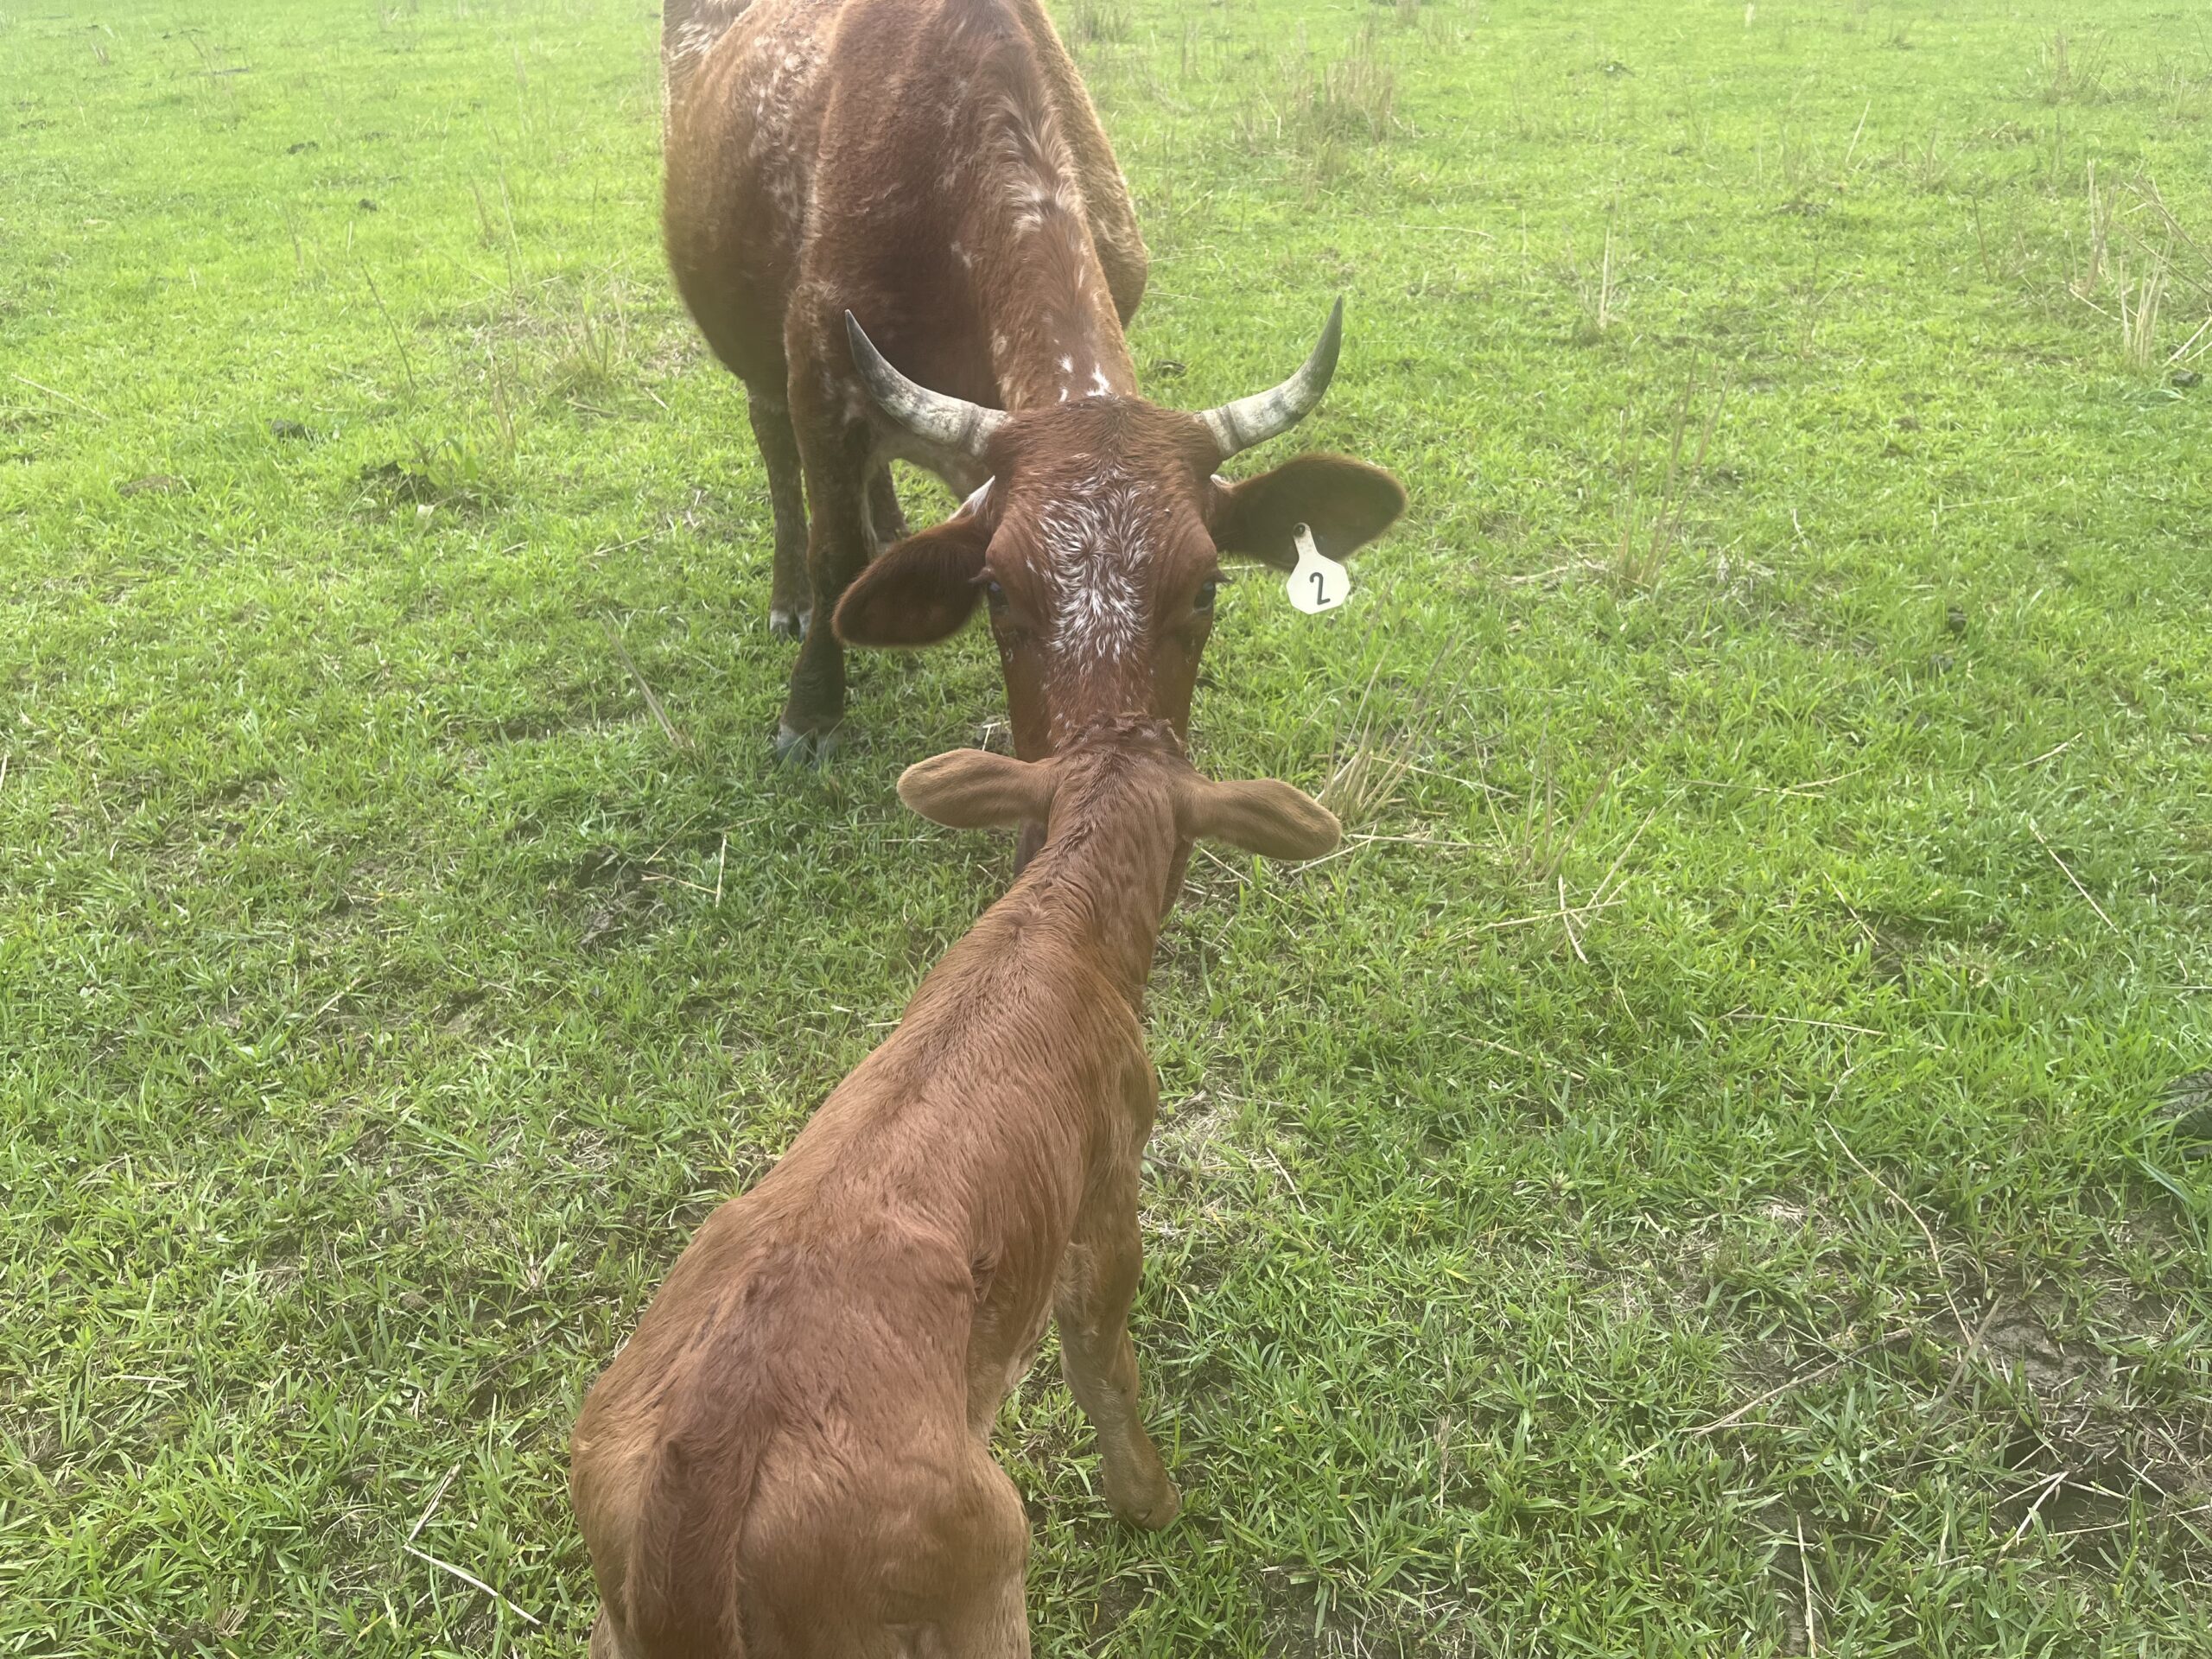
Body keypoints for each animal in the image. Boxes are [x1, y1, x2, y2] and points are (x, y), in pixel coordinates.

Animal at [570, 715, 1341, 1656]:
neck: (1055, 927)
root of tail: (705, 1458)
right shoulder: (1108, 1186)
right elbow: (1102, 1358)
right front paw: (1151, 1503)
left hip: (622, 1617)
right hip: (966, 1575)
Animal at [660, 0, 1406, 776]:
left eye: (1207, 588)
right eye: (997, 591)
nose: (1110, 754)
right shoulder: (817, 370)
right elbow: (835, 554)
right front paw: (810, 712)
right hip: (749, 349)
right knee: (774, 447)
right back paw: (793, 598)